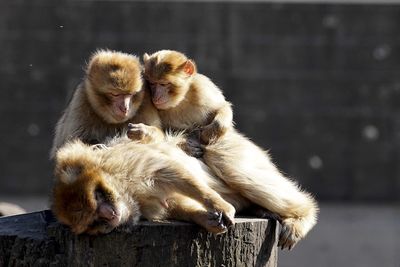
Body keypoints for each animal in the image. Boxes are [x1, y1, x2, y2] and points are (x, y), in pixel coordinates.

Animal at [51, 135, 238, 236]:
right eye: (95, 221)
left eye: (98, 195)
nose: (111, 215)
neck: (128, 190)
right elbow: (173, 206)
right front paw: (206, 219)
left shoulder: (130, 161)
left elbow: (171, 171)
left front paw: (222, 206)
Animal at [144, 50, 318, 251]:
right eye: (151, 84)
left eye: (164, 84)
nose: (156, 96)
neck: (179, 101)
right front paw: (185, 144)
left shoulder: (202, 87)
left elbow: (222, 107)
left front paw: (211, 129)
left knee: (224, 159)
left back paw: (303, 215)